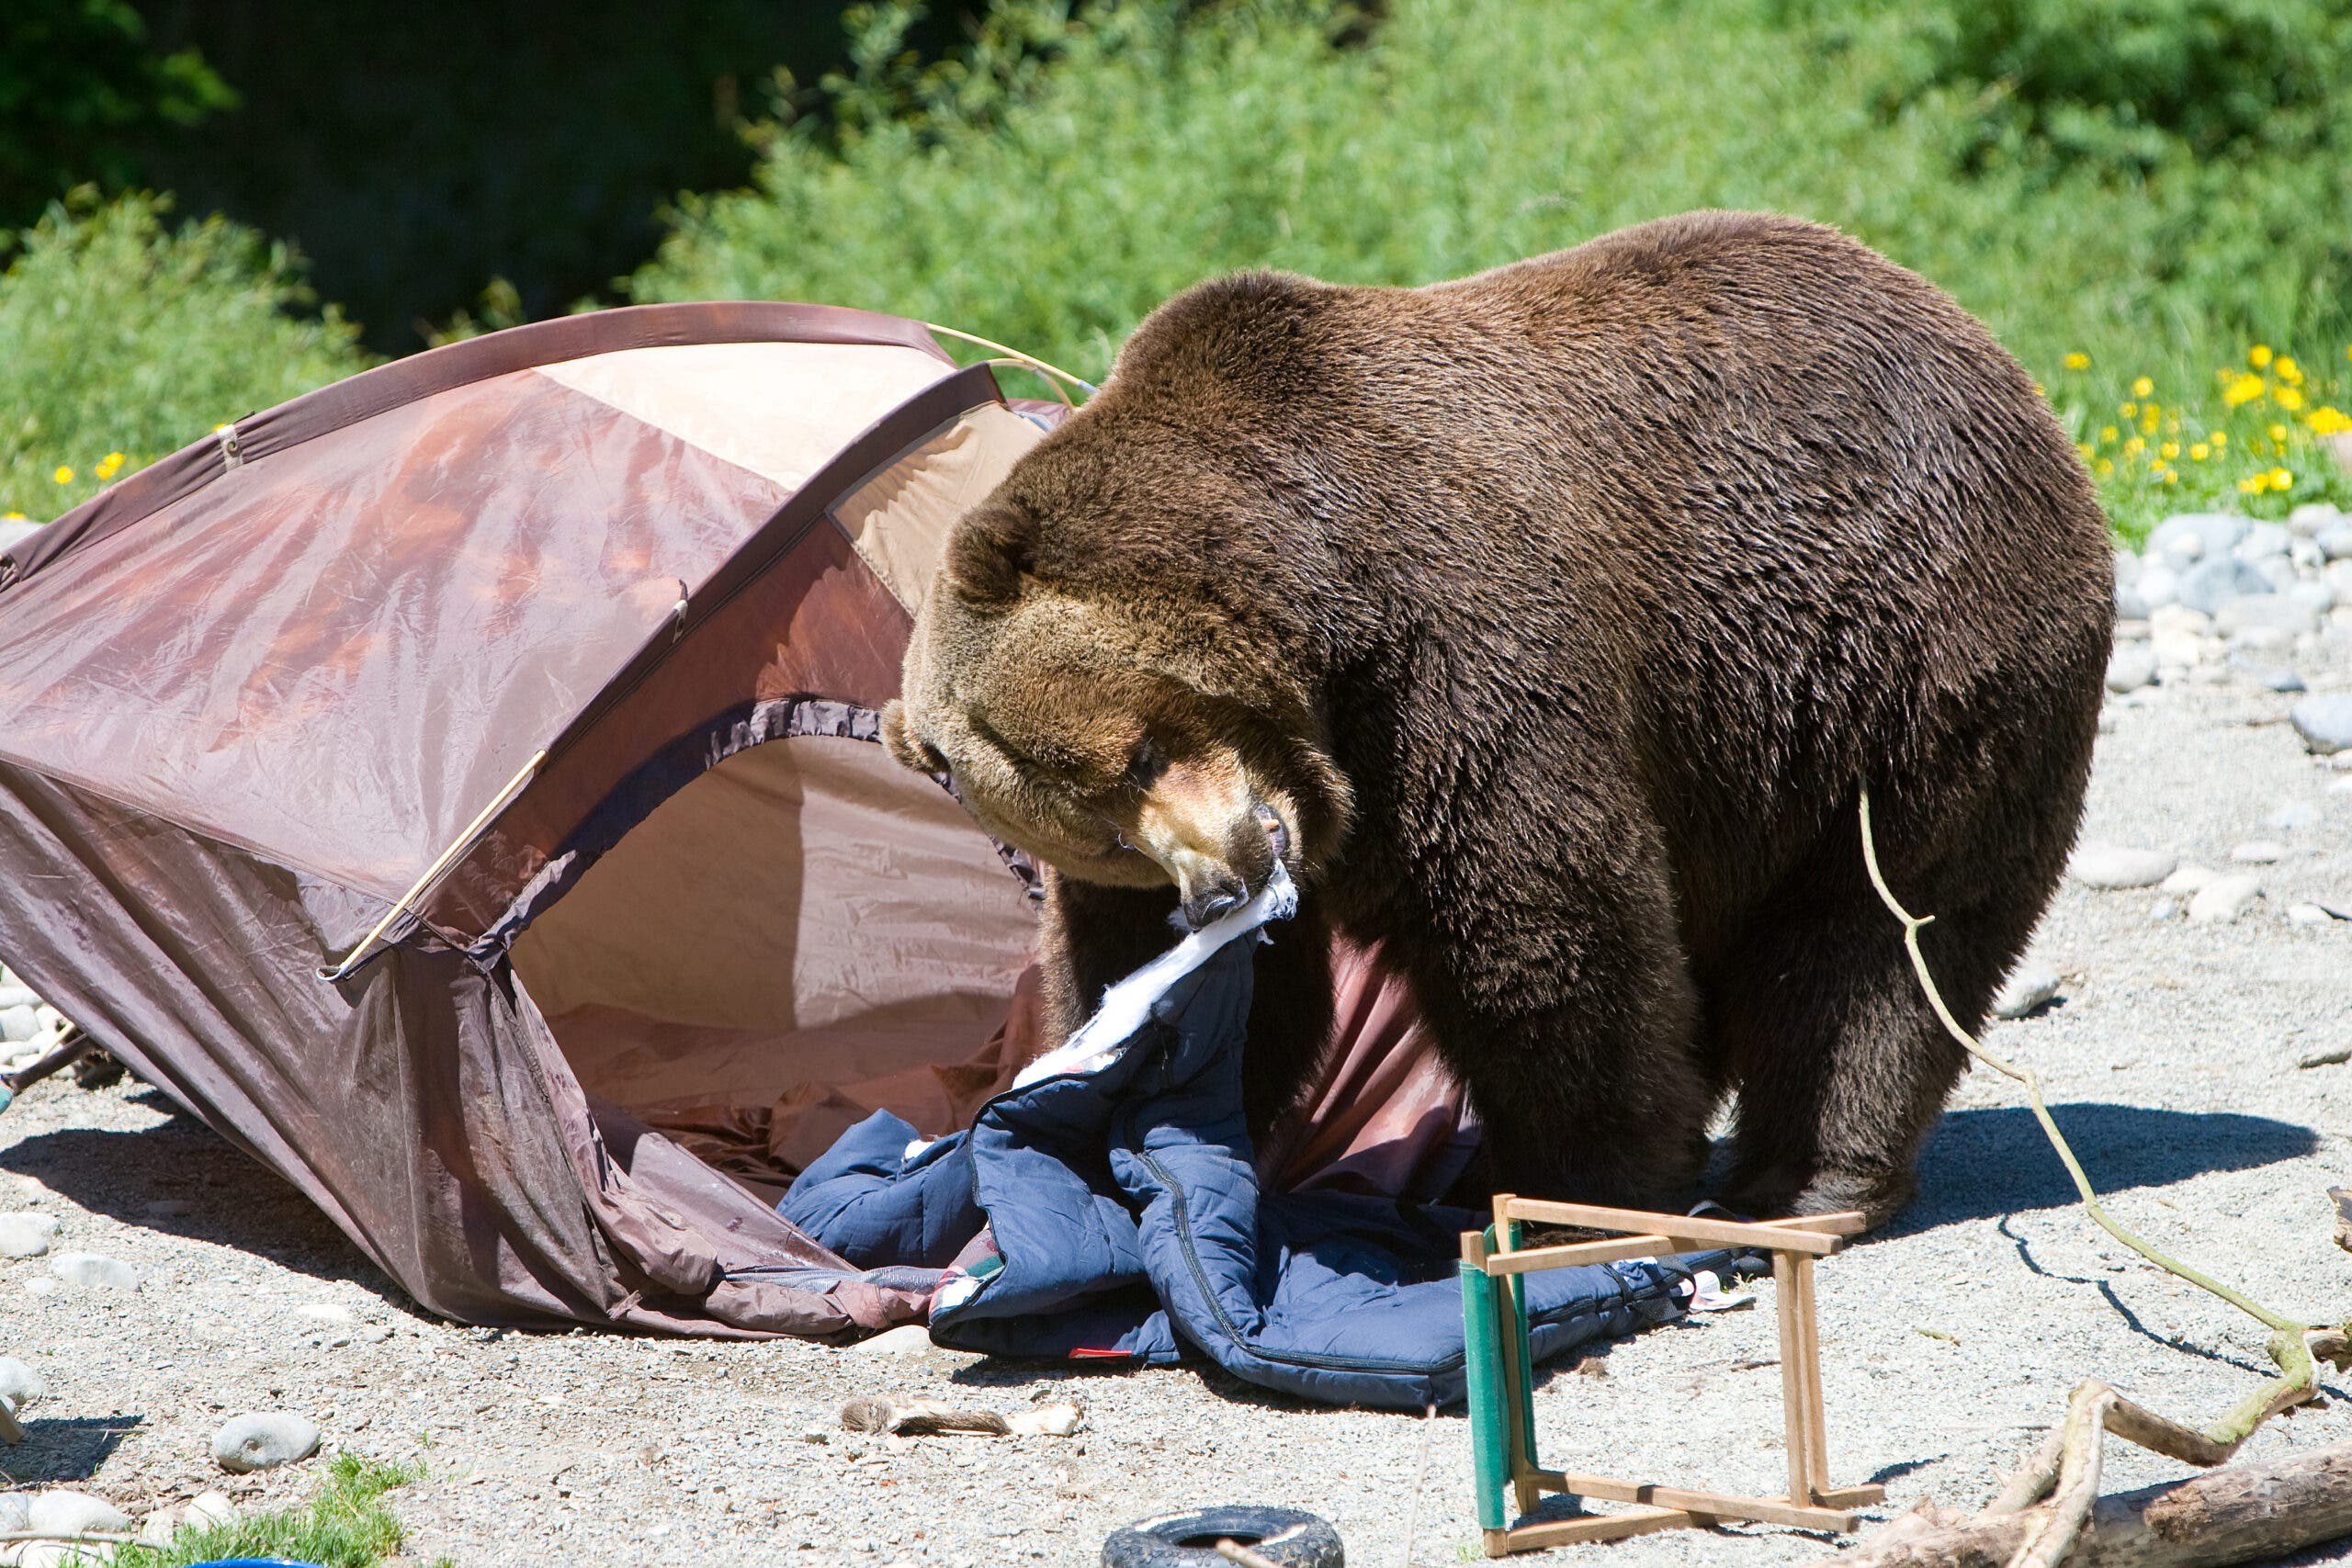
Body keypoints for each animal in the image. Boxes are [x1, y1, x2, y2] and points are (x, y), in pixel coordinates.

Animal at [881, 210, 2112, 1225]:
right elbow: (1184, 980)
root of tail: (1980, 344)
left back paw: (1809, 1176)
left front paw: (1573, 1177)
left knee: (1885, 923)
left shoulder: (1452, 645)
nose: (1221, 883)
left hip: (1906, 650)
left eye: (1139, 751)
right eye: (1097, 829)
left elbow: (1537, 917)